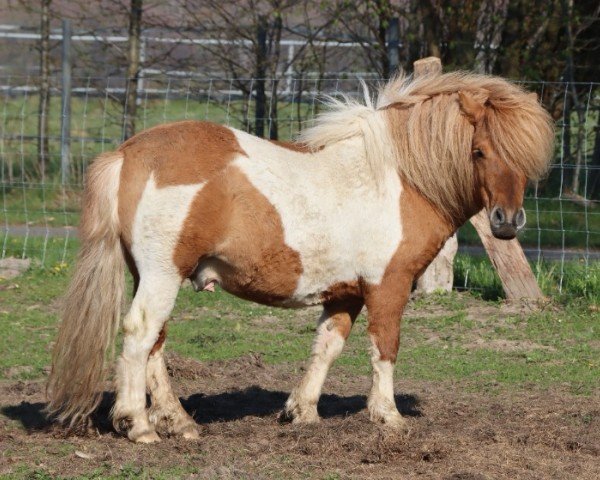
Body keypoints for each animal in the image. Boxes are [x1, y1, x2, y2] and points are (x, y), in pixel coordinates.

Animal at [47, 71, 552, 442]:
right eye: (479, 151)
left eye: (526, 158)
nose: (507, 222)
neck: (400, 177)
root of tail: (129, 152)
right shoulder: (388, 285)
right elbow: (384, 349)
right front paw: (388, 416)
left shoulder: (345, 292)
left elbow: (327, 347)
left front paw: (302, 411)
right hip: (162, 274)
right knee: (140, 333)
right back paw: (138, 425)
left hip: (153, 276)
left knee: (155, 343)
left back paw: (179, 422)